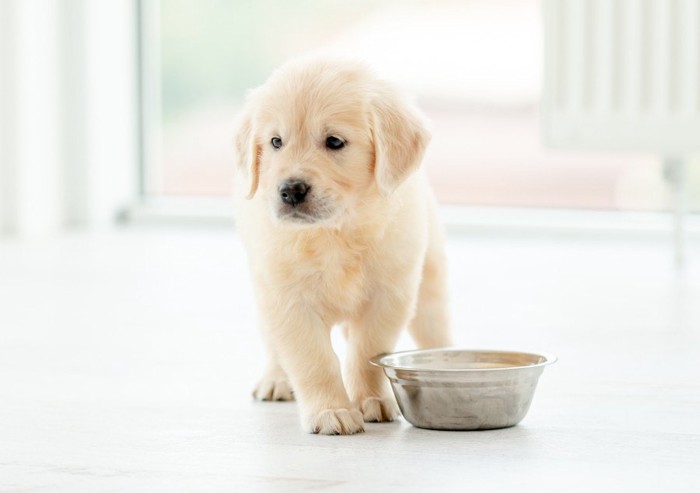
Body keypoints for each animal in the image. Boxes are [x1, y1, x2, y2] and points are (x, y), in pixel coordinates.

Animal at [235, 58, 452, 434]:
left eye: (334, 141)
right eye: (276, 141)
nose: (290, 190)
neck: (334, 232)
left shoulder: (388, 296)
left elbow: (367, 352)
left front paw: (371, 398)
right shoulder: (288, 301)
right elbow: (313, 360)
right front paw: (330, 410)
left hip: (430, 285)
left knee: (435, 327)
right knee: (273, 343)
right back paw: (276, 379)